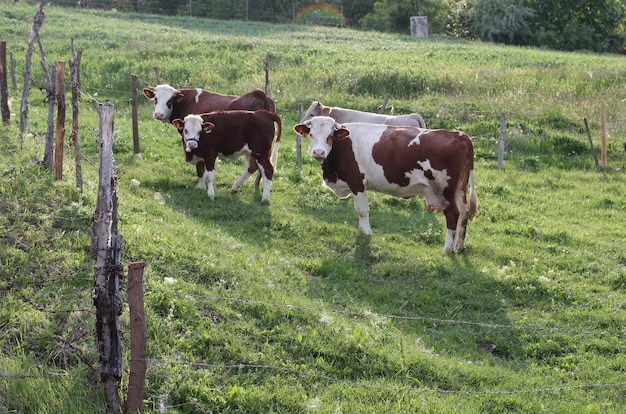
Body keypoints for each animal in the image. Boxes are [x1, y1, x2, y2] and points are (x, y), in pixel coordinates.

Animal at [145, 84, 276, 191]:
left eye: (170, 101)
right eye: (156, 99)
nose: (158, 114)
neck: (188, 101)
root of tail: (259, 94)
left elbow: (200, 167)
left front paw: (202, 186)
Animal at [292, 115, 478, 254]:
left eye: (330, 136)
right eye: (311, 134)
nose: (318, 152)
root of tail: (459, 135)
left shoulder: (357, 182)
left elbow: (362, 210)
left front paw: (365, 233)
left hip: (444, 189)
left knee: (453, 215)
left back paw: (448, 249)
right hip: (459, 188)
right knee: (464, 212)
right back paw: (460, 246)